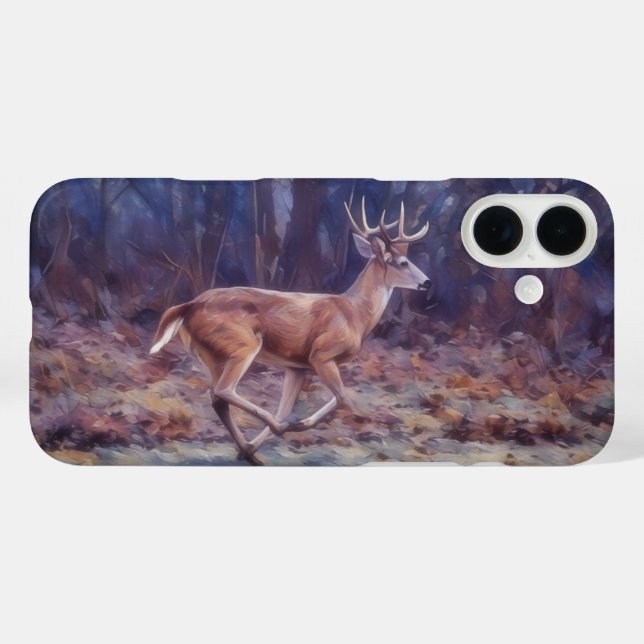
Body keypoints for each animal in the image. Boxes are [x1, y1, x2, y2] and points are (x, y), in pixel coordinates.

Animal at [150, 197, 431, 464]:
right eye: (403, 262)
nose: (428, 282)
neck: (355, 314)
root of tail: (189, 306)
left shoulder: (296, 366)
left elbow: (290, 405)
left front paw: (263, 440)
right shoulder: (321, 354)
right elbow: (342, 398)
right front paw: (297, 425)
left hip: (211, 354)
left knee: (217, 398)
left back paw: (250, 454)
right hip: (241, 344)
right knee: (224, 390)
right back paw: (274, 430)